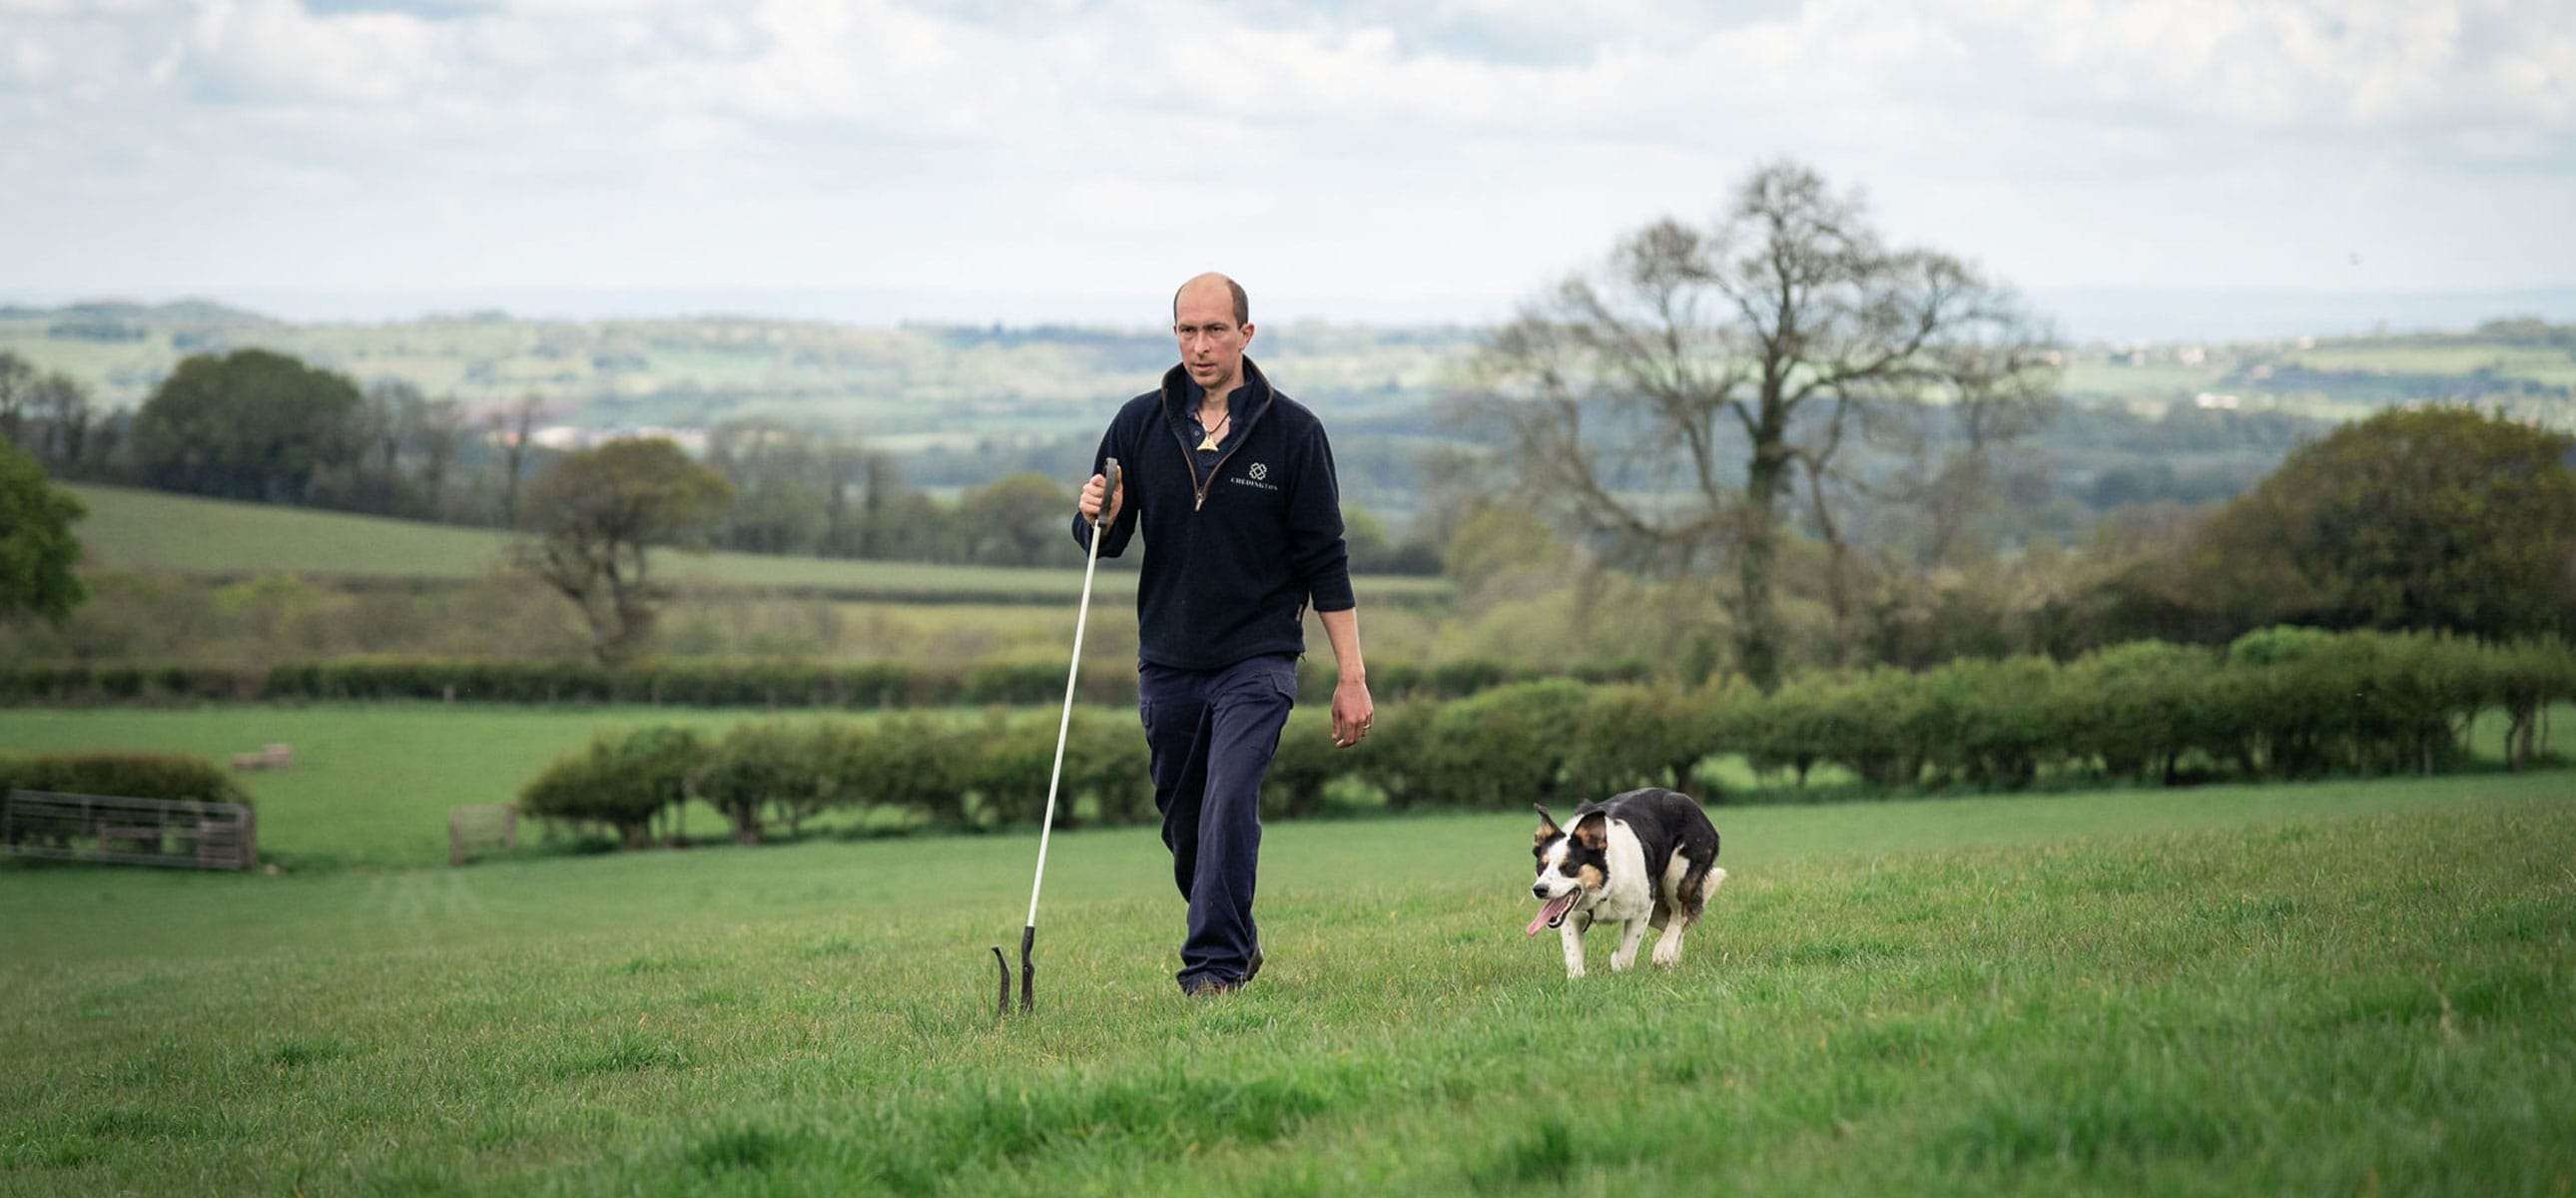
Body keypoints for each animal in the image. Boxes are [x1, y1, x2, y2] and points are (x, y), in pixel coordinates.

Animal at [1525, 788, 1730, 973]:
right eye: (1541, 866)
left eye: (1568, 867)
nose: (1539, 889)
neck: (1605, 885)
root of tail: (1694, 806)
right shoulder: (1571, 917)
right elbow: (1573, 956)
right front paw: (1577, 980)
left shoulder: (1643, 907)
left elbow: (1626, 954)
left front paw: (1617, 964)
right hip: (1659, 904)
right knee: (1677, 924)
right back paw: (1671, 959)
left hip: (1677, 875)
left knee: (1680, 915)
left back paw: (1663, 951)